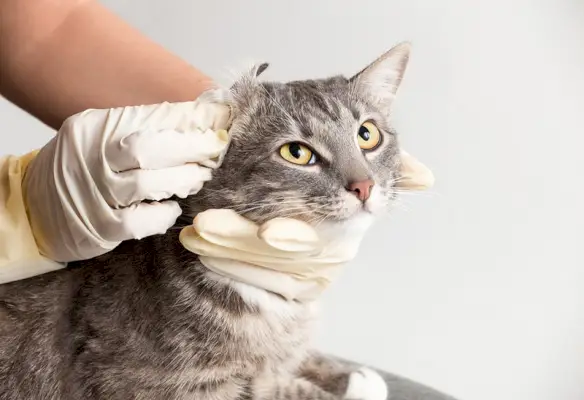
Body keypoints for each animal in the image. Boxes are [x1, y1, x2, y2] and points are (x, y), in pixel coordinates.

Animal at [0, 42, 410, 398]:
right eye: (296, 153)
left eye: (367, 135)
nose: (364, 185)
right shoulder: (158, 383)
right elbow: (275, 389)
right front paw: (355, 385)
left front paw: (346, 374)